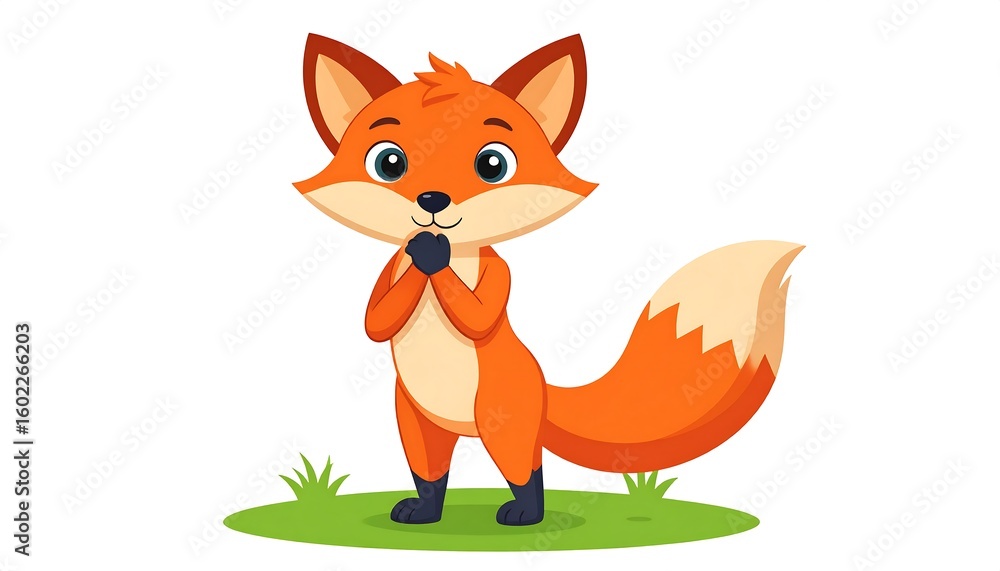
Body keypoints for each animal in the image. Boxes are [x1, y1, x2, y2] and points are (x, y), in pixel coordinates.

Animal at [294, 33, 802, 526]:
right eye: (389, 163)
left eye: (493, 165)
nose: (433, 199)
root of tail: (540, 385)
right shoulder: (388, 276)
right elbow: (376, 322)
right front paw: (425, 251)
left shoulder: (499, 272)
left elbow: (477, 316)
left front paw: (432, 253)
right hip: (416, 421)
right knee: (431, 473)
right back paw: (423, 512)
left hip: (503, 422)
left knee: (526, 470)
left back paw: (524, 514)